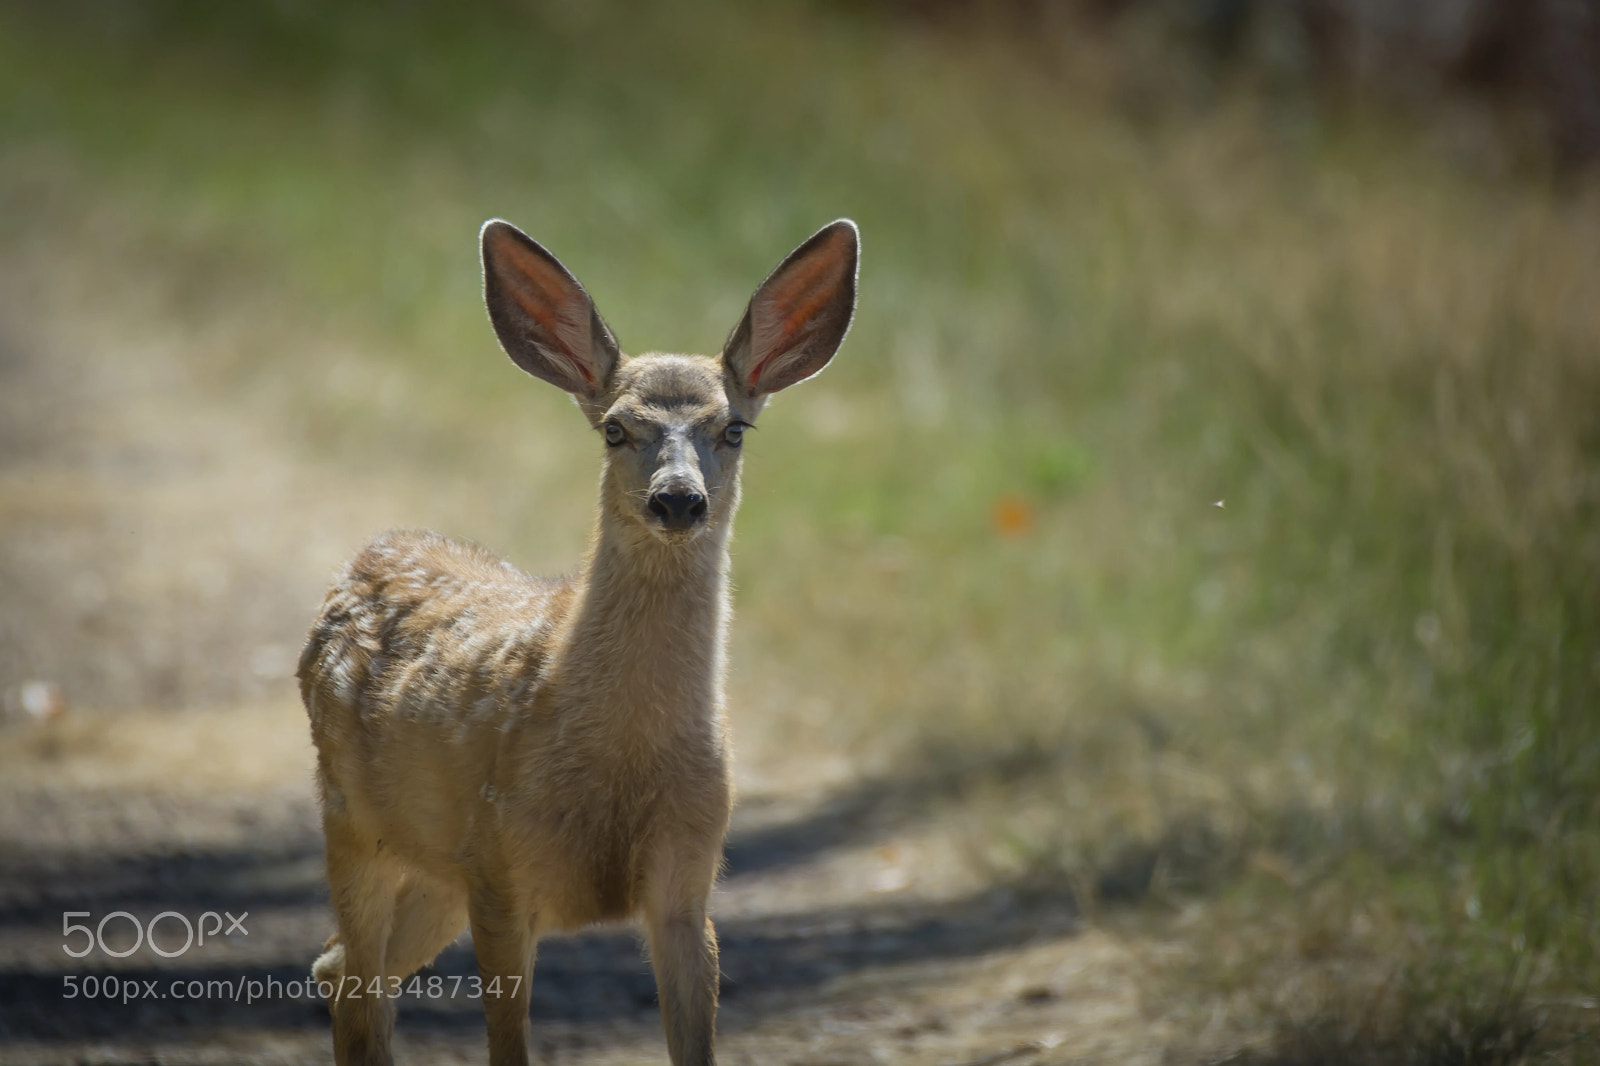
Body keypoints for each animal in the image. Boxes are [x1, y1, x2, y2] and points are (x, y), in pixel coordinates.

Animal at [297, 217, 859, 1066]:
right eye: (616, 429)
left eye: (732, 428)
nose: (677, 500)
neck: (619, 760)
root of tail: (369, 553)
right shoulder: (502, 866)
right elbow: (508, 1049)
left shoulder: (688, 874)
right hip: (352, 822)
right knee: (353, 974)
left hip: (434, 867)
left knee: (342, 971)